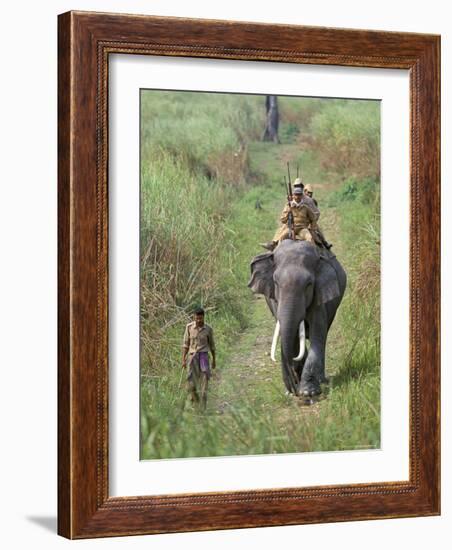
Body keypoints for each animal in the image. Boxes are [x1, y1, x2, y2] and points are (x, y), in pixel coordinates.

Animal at [247, 239, 346, 398]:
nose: (292, 388)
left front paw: (308, 392)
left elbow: (317, 334)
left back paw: (321, 380)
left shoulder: (319, 298)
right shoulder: (275, 301)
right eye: (275, 282)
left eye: (309, 284)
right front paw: (296, 386)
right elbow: (293, 339)